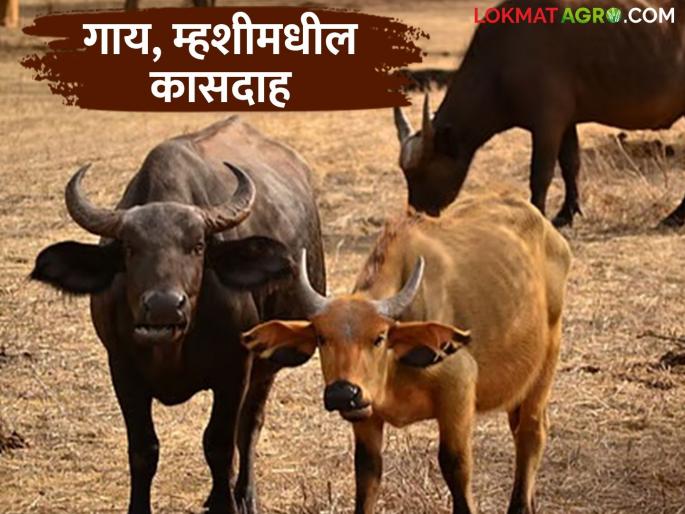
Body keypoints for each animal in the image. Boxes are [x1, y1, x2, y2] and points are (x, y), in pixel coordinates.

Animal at [30, 117, 326, 514]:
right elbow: (144, 449)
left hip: (268, 363)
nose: (164, 306)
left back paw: (244, 494)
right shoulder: (122, 368)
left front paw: (226, 502)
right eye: (129, 248)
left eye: (197, 246)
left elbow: (219, 443)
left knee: (248, 424)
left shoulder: (235, 368)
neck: (171, 348)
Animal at [242, 192, 572, 514]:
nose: (343, 393)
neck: (394, 367)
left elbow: (454, 464)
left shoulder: (458, 392)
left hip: (545, 365)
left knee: (531, 431)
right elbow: (367, 473)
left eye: (379, 337)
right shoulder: (366, 416)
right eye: (322, 337)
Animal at [394, 0, 685, 228]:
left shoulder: (547, 126)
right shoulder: (566, 124)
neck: (501, 62)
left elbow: (540, 175)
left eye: (423, 171)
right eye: (406, 175)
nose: (415, 215)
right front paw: (567, 213)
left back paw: (675, 217)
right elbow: (570, 164)